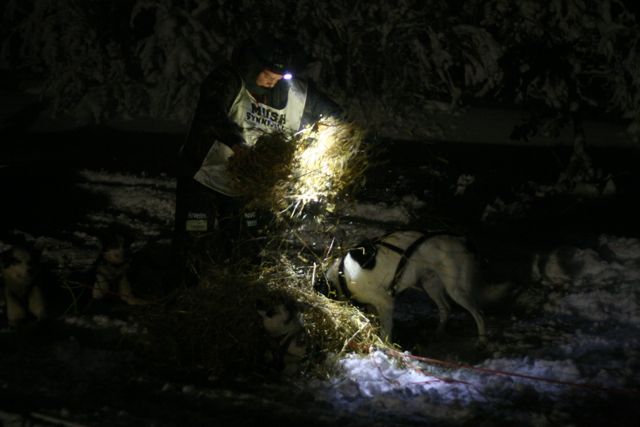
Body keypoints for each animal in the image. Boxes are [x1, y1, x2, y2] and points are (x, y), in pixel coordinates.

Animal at [325, 230, 488, 344]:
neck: (342, 274)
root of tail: (462, 241)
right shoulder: (374, 306)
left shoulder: (386, 302)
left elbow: (385, 332)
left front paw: (386, 346)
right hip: (431, 284)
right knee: (445, 309)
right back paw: (438, 332)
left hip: (456, 289)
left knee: (479, 313)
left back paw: (481, 340)